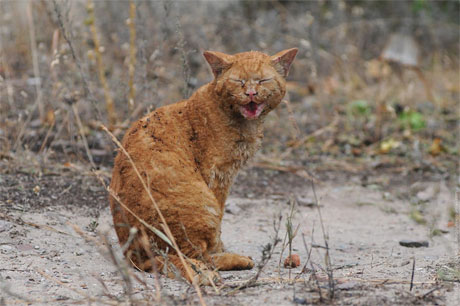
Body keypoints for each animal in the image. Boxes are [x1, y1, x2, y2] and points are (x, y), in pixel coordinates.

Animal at [109, 47, 296, 284]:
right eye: (238, 81)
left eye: (263, 80)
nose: (251, 93)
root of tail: (136, 257)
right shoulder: (219, 175)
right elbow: (219, 227)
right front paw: (222, 249)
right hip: (201, 207)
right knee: (195, 256)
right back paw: (229, 263)